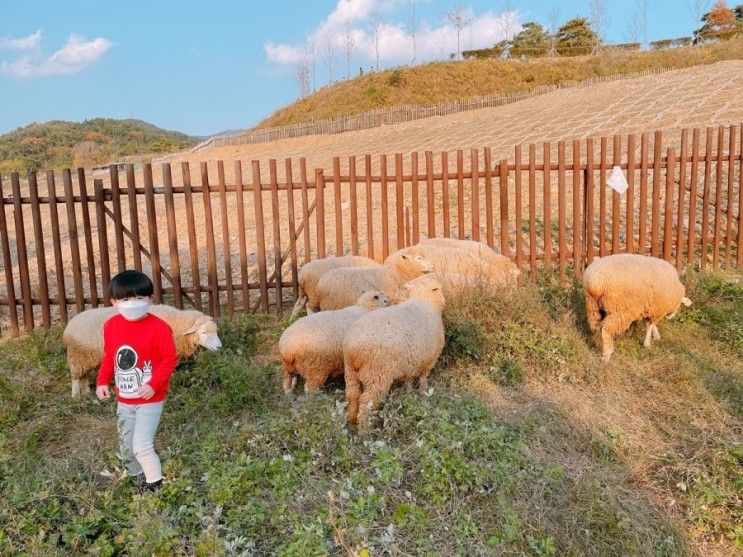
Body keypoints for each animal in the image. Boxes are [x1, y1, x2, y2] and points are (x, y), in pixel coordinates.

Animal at [62, 302, 221, 398]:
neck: (177, 325)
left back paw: (87, 393)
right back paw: (76, 396)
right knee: (76, 377)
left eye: (215, 331)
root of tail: (69, 327)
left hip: (87, 356)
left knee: (84, 375)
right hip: (77, 355)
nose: (219, 347)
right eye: (203, 332)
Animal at [344, 276, 444, 428]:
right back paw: (364, 429)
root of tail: (353, 350)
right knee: (367, 402)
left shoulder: (411, 361)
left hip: (350, 373)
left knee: (352, 395)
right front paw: (423, 392)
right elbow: (423, 377)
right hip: (376, 375)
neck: (424, 301)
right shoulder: (429, 359)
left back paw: (351, 423)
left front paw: (409, 393)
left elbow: (409, 379)